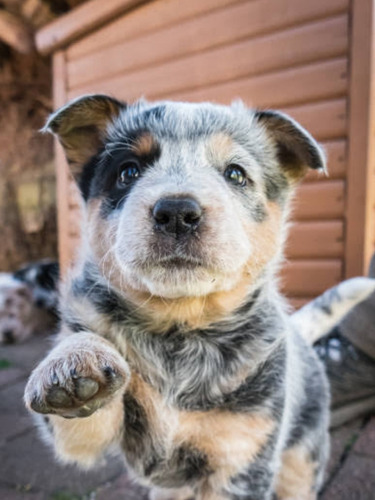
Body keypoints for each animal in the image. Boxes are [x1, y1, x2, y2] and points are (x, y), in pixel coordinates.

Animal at [23, 94, 330, 500]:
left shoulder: (242, 453)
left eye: (235, 174)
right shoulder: (89, 435)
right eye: (128, 171)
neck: (178, 332)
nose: (177, 212)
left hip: (301, 459)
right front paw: (73, 361)